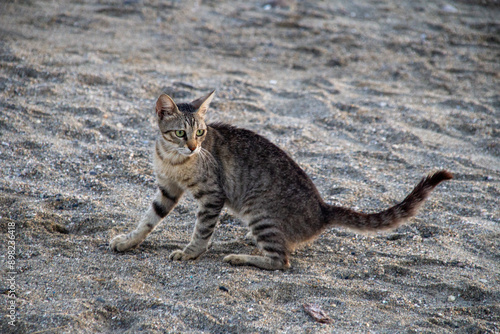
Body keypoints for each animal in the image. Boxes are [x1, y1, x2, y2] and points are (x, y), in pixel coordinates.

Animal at [110, 91, 454, 272]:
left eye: (201, 132)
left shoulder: (212, 196)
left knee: (281, 260)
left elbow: (202, 230)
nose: (194, 146)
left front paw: (191, 252)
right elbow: (148, 219)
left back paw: (241, 258)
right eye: (181, 133)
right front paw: (128, 240)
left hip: (259, 209)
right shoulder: (166, 189)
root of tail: (323, 209)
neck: (174, 160)